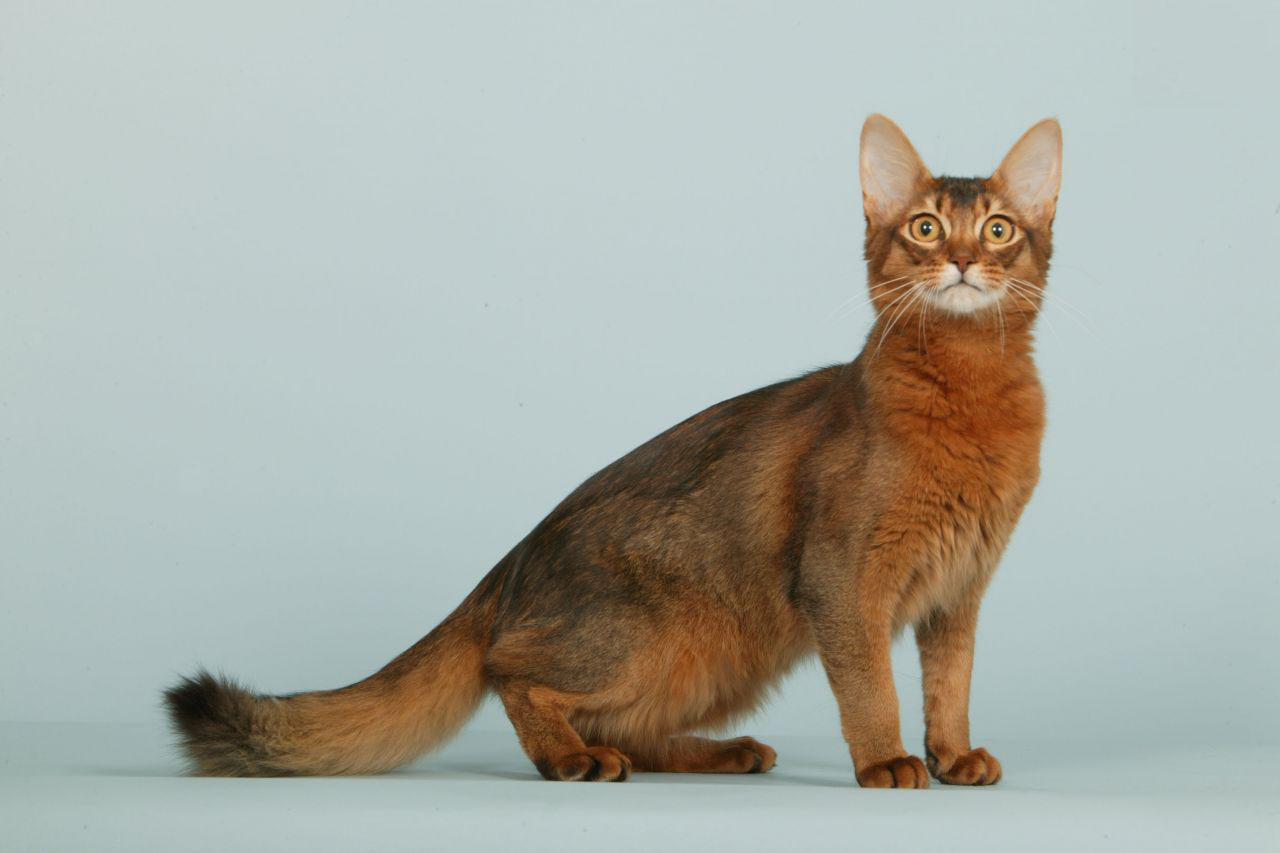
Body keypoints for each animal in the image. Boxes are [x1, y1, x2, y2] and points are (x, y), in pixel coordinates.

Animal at [162, 112, 1059, 783]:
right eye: (925, 227)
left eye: (1000, 230)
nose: (964, 260)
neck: (970, 394)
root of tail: (511, 562)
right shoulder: (842, 580)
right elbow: (873, 685)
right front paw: (886, 762)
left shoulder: (960, 590)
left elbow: (950, 684)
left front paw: (951, 755)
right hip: (661, 632)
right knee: (516, 672)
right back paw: (569, 758)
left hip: (722, 655)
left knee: (628, 724)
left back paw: (717, 752)